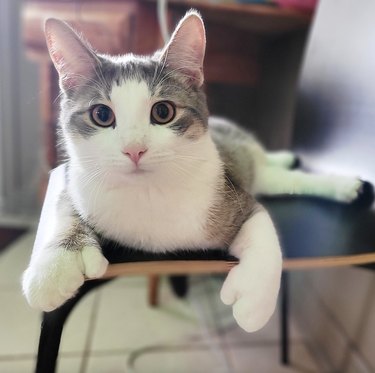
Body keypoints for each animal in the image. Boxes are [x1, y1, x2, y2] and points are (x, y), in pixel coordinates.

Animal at [21, 10, 364, 332]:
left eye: (163, 111)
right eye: (101, 115)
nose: (134, 150)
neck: (147, 192)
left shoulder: (231, 192)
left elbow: (261, 224)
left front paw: (254, 303)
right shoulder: (73, 178)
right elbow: (64, 207)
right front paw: (54, 266)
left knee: (282, 176)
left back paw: (338, 183)